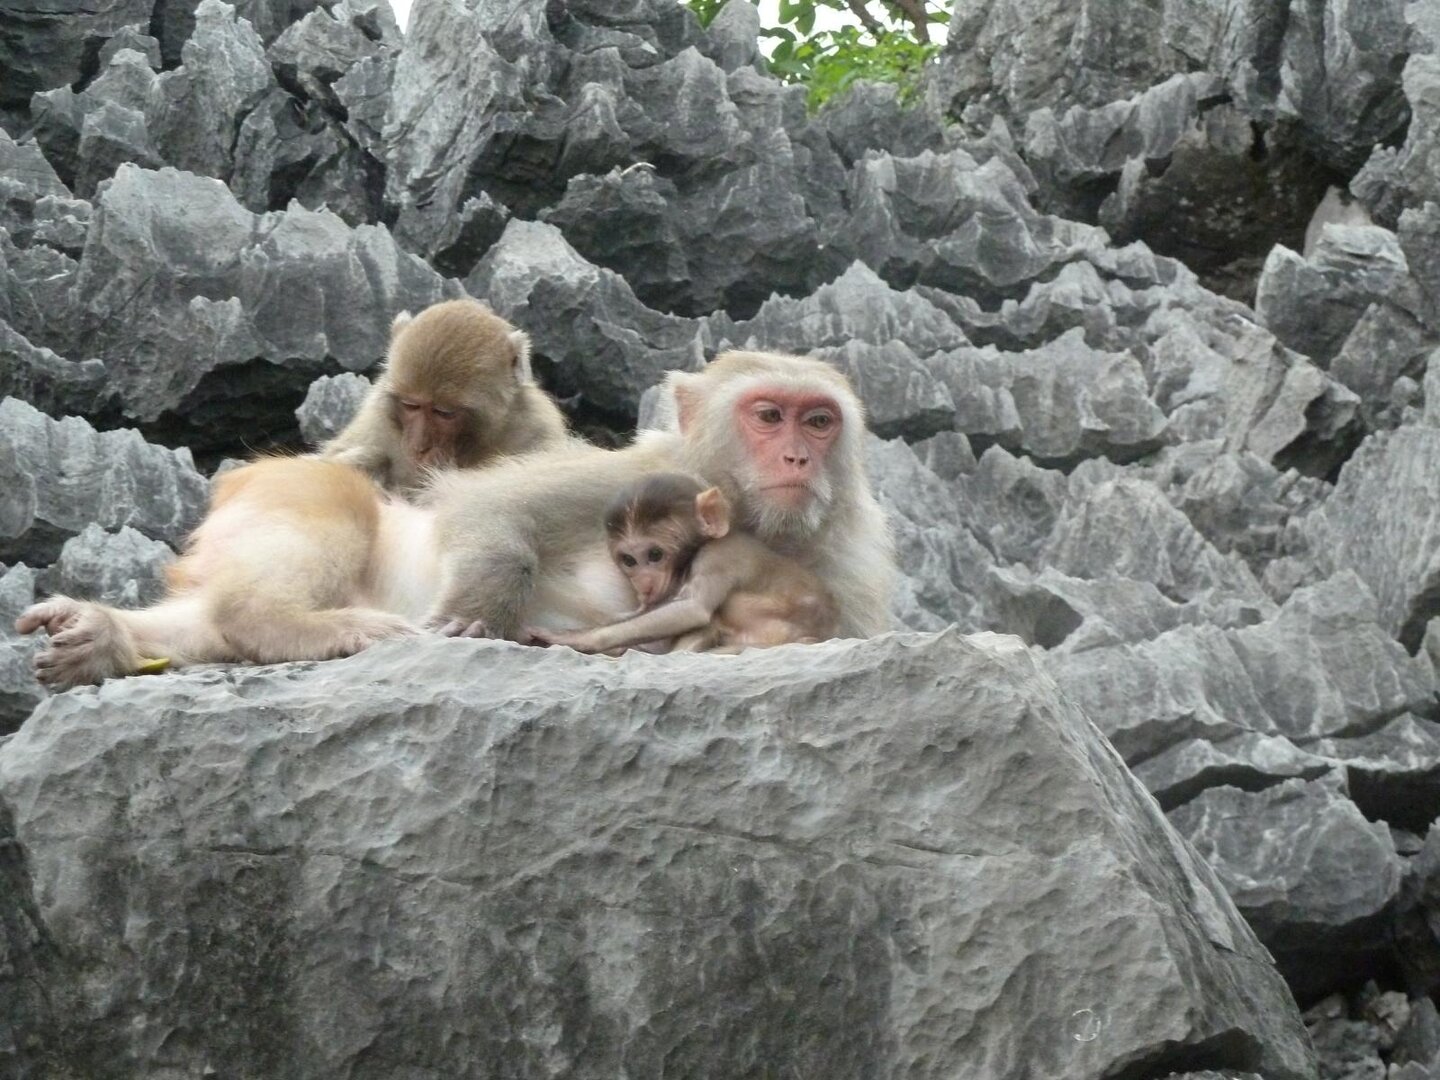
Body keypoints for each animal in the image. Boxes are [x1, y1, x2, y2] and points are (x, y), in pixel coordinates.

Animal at [528, 473, 839, 655]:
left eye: (655, 555)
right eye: (629, 560)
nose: (643, 583)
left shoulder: (718, 555)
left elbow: (693, 609)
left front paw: (582, 640)